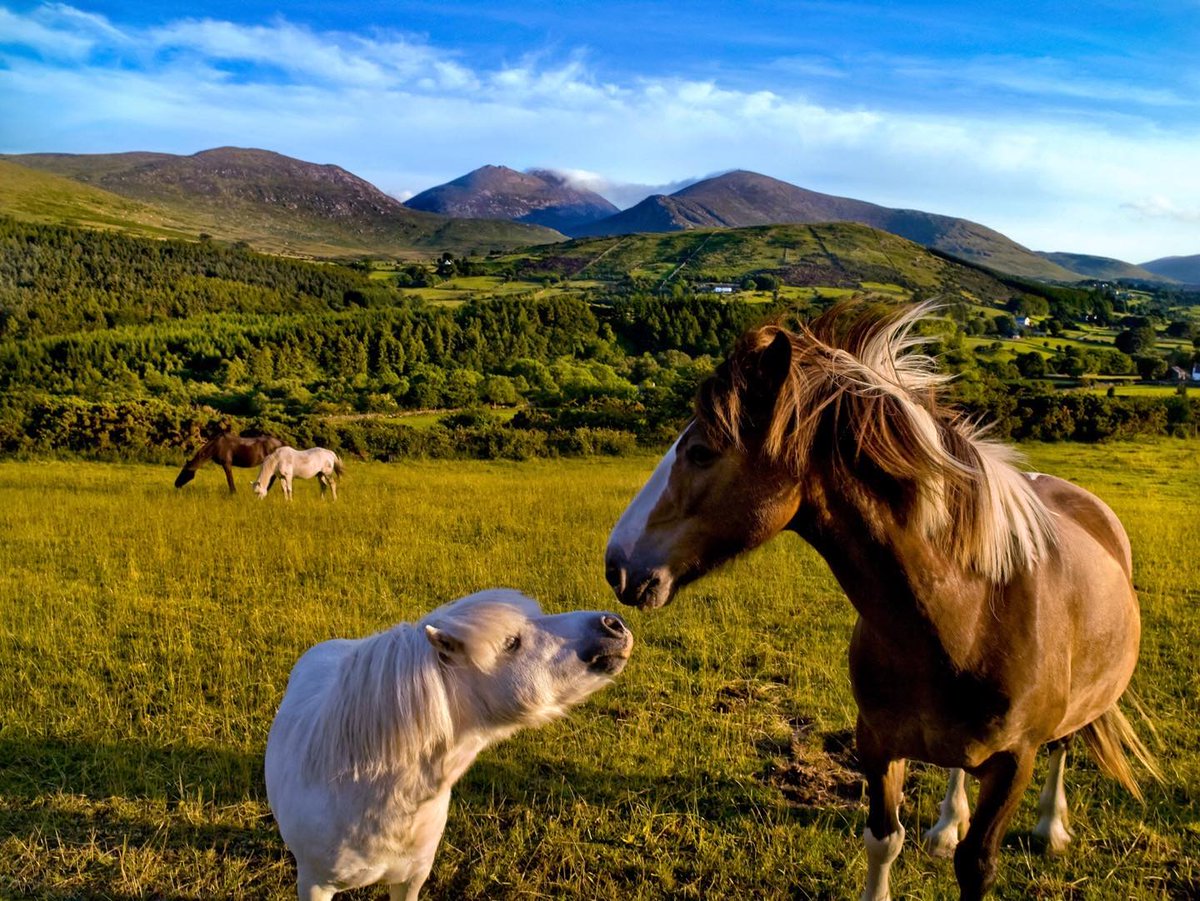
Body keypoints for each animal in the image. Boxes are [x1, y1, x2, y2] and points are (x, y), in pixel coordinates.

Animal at [604, 303, 1156, 901]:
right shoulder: (877, 741)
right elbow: (883, 841)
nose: (617, 564)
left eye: (702, 452)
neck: (969, 618)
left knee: (1065, 745)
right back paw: (946, 823)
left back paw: (1051, 827)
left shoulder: (1014, 762)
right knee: (958, 768)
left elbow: (977, 865)